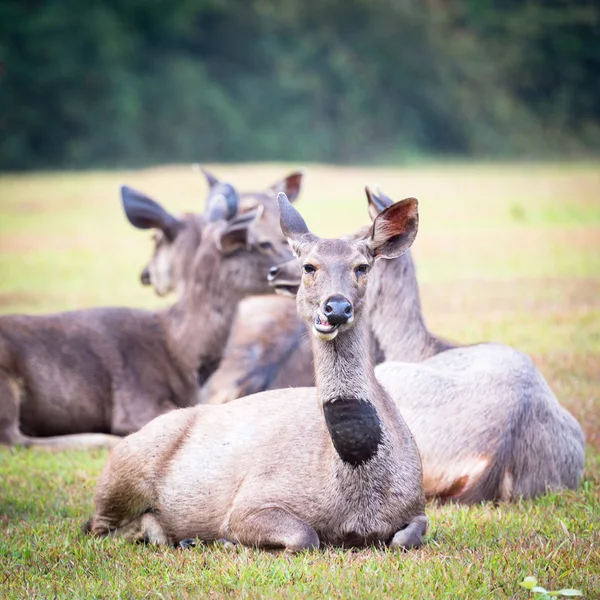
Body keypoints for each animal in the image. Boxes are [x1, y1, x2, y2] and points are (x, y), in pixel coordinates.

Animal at [86, 195, 428, 552]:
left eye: (362, 266)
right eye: (309, 267)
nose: (336, 308)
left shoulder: (418, 506)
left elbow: (405, 538)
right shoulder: (251, 500)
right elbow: (305, 536)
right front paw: (228, 541)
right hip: (122, 473)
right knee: (97, 527)